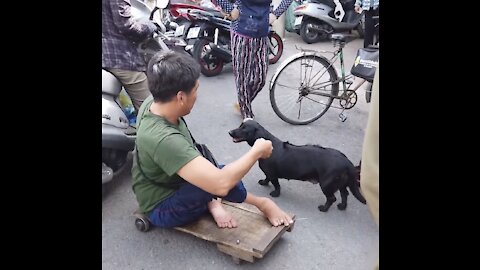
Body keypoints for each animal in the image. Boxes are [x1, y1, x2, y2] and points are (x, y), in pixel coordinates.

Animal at [230, 119, 368, 212]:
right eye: (240, 125)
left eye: (244, 129)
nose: (230, 132)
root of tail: (346, 161)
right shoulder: (269, 173)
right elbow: (267, 178)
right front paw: (264, 182)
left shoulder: (273, 174)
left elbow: (276, 184)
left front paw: (275, 193)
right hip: (341, 183)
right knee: (345, 194)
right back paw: (342, 206)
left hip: (326, 184)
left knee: (332, 198)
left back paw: (324, 208)